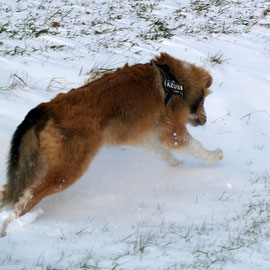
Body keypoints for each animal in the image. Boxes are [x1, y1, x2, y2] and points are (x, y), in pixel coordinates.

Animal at [0, 52, 223, 234]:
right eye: (203, 102)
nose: (204, 120)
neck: (174, 79)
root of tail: (46, 108)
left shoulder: (146, 135)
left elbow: (164, 153)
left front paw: (178, 167)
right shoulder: (172, 131)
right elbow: (194, 146)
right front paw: (214, 156)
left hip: (37, 164)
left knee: (10, 192)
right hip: (68, 169)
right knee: (29, 195)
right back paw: (12, 225)